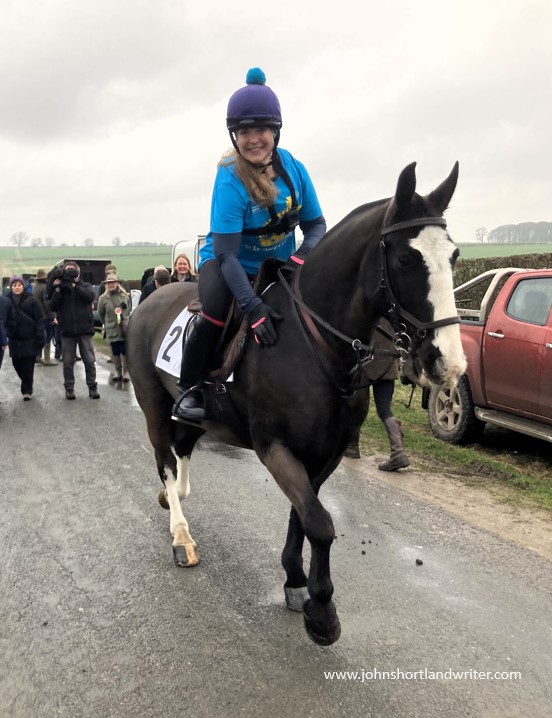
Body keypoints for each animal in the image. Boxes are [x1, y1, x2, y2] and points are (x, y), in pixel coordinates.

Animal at [126, 162, 467, 646]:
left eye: (453, 256)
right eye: (405, 259)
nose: (448, 362)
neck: (316, 342)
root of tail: (149, 298)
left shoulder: (325, 452)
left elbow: (303, 515)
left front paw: (295, 580)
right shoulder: (275, 448)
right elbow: (320, 524)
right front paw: (321, 610)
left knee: (183, 453)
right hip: (154, 405)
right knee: (166, 461)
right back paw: (180, 536)